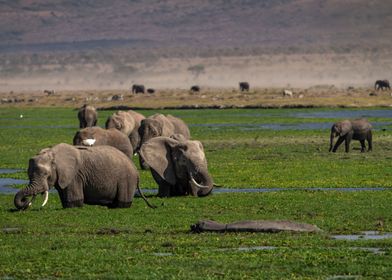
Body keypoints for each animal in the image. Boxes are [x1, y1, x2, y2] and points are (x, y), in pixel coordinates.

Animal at [12, 143, 153, 209]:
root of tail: (136, 170)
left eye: (46, 175)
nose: (26, 201)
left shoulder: (74, 176)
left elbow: (74, 201)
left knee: (122, 203)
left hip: (126, 179)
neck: (53, 153)